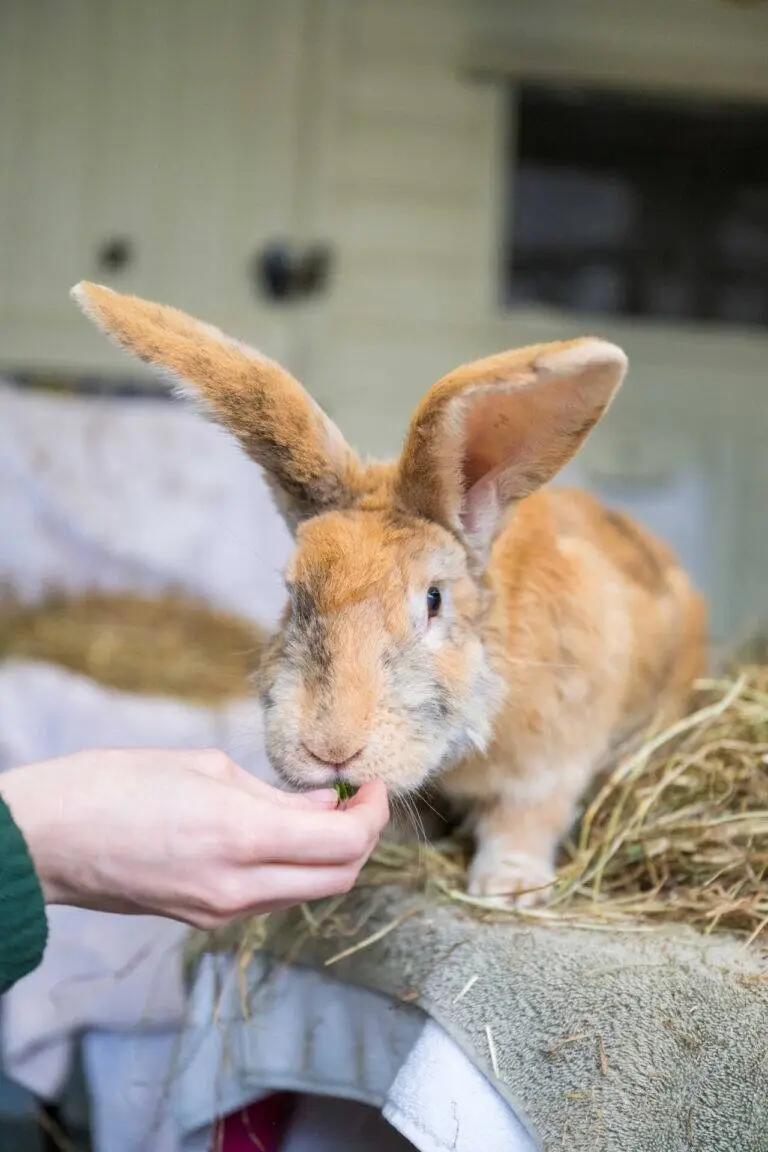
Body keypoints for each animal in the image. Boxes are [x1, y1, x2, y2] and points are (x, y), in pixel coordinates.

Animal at [71, 282, 707, 906]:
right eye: (293, 595)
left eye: (432, 600)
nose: (332, 750)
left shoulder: (549, 768)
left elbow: (524, 821)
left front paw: (507, 887)